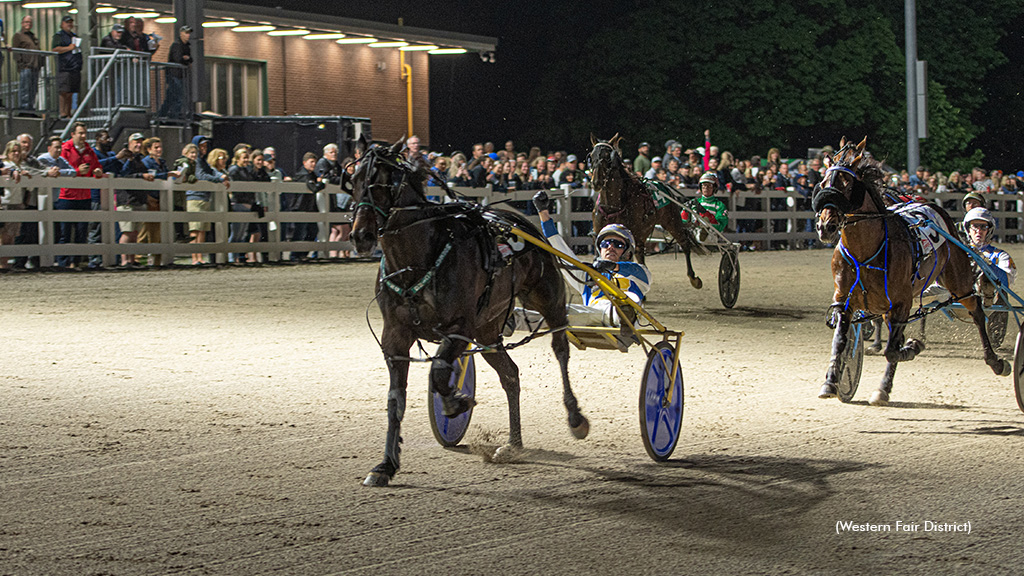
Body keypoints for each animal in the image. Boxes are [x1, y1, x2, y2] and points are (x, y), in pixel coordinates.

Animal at [352, 138, 593, 483]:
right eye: (354, 180)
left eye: (387, 181)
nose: (362, 235)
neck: (417, 260)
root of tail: (520, 222)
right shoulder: (395, 337)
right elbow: (396, 399)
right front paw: (385, 465)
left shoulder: (458, 328)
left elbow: (440, 372)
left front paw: (455, 402)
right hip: (487, 329)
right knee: (510, 374)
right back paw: (513, 444)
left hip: (547, 301)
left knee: (560, 349)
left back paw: (575, 417)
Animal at [589, 133, 708, 286]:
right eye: (591, 155)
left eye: (608, 157)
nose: (596, 182)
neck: (612, 207)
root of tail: (665, 186)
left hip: (671, 222)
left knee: (684, 243)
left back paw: (694, 278)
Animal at [815, 135, 1007, 403]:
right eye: (823, 183)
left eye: (846, 184)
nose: (826, 226)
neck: (865, 252)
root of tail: (932, 206)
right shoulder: (845, 300)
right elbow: (841, 341)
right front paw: (831, 382)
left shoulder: (901, 302)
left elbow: (893, 351)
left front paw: (907, 355)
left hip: (958, 281)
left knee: (977, 310)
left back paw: (996, 361)